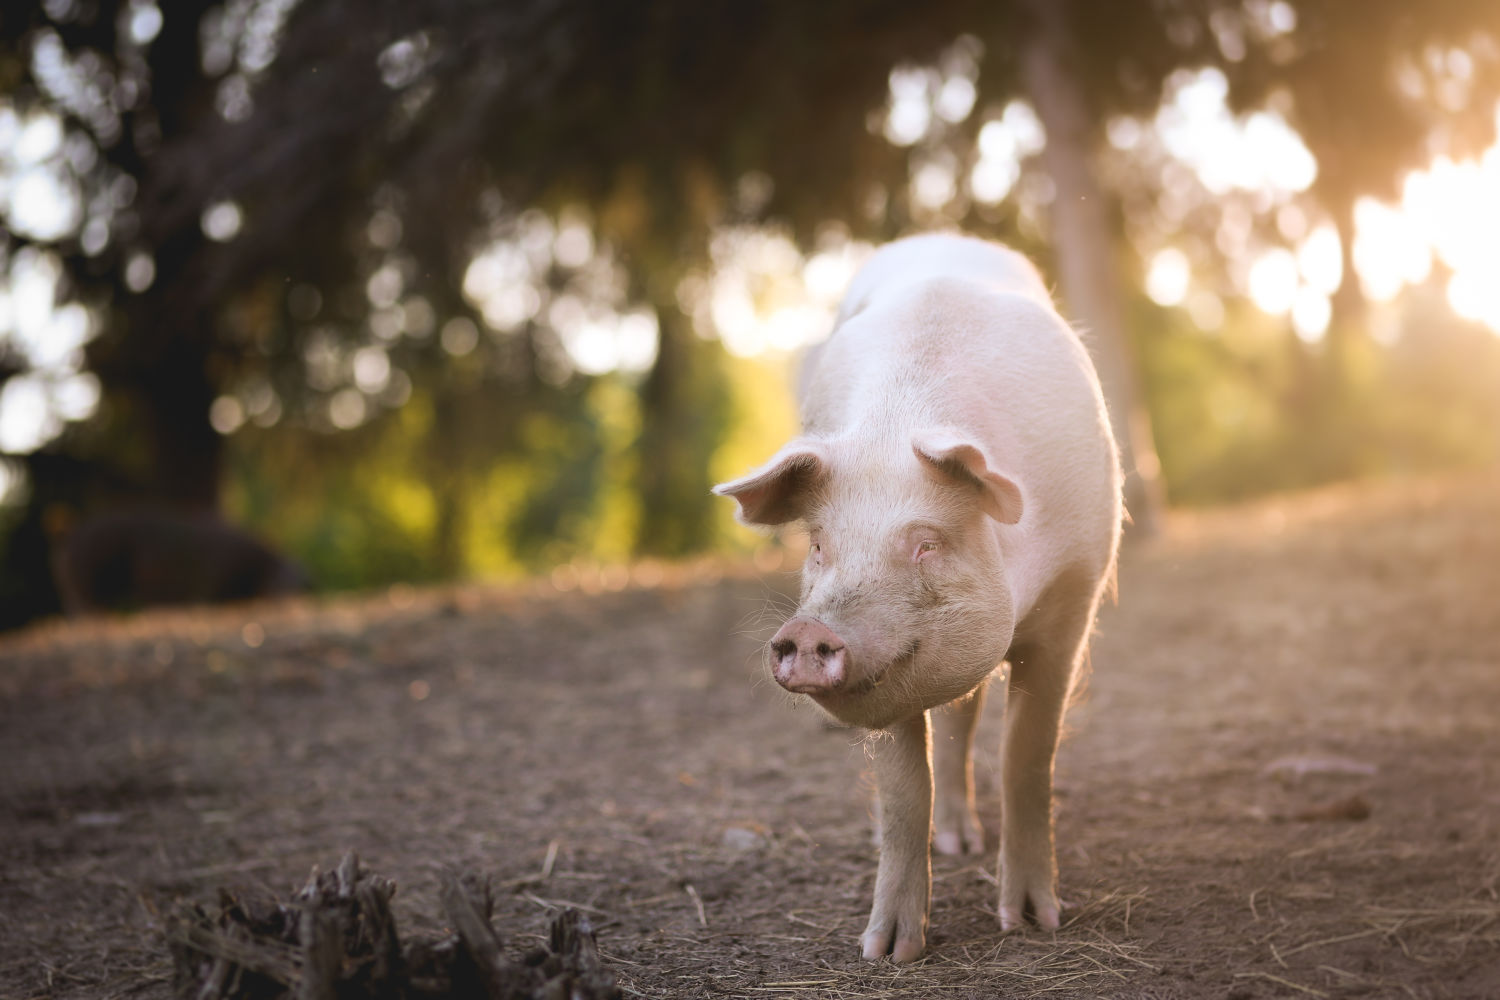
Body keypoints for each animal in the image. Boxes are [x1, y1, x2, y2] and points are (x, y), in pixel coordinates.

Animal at [717, 232, 1128, 959]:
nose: (807, 633)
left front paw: (1033, 923)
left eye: (927, 544)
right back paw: (952, 844)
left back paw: (972, 849)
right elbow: (906, 790)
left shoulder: (1075, 594)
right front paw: (887, 953)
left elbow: (1027, 755)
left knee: (967, 716)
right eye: (818, 543)